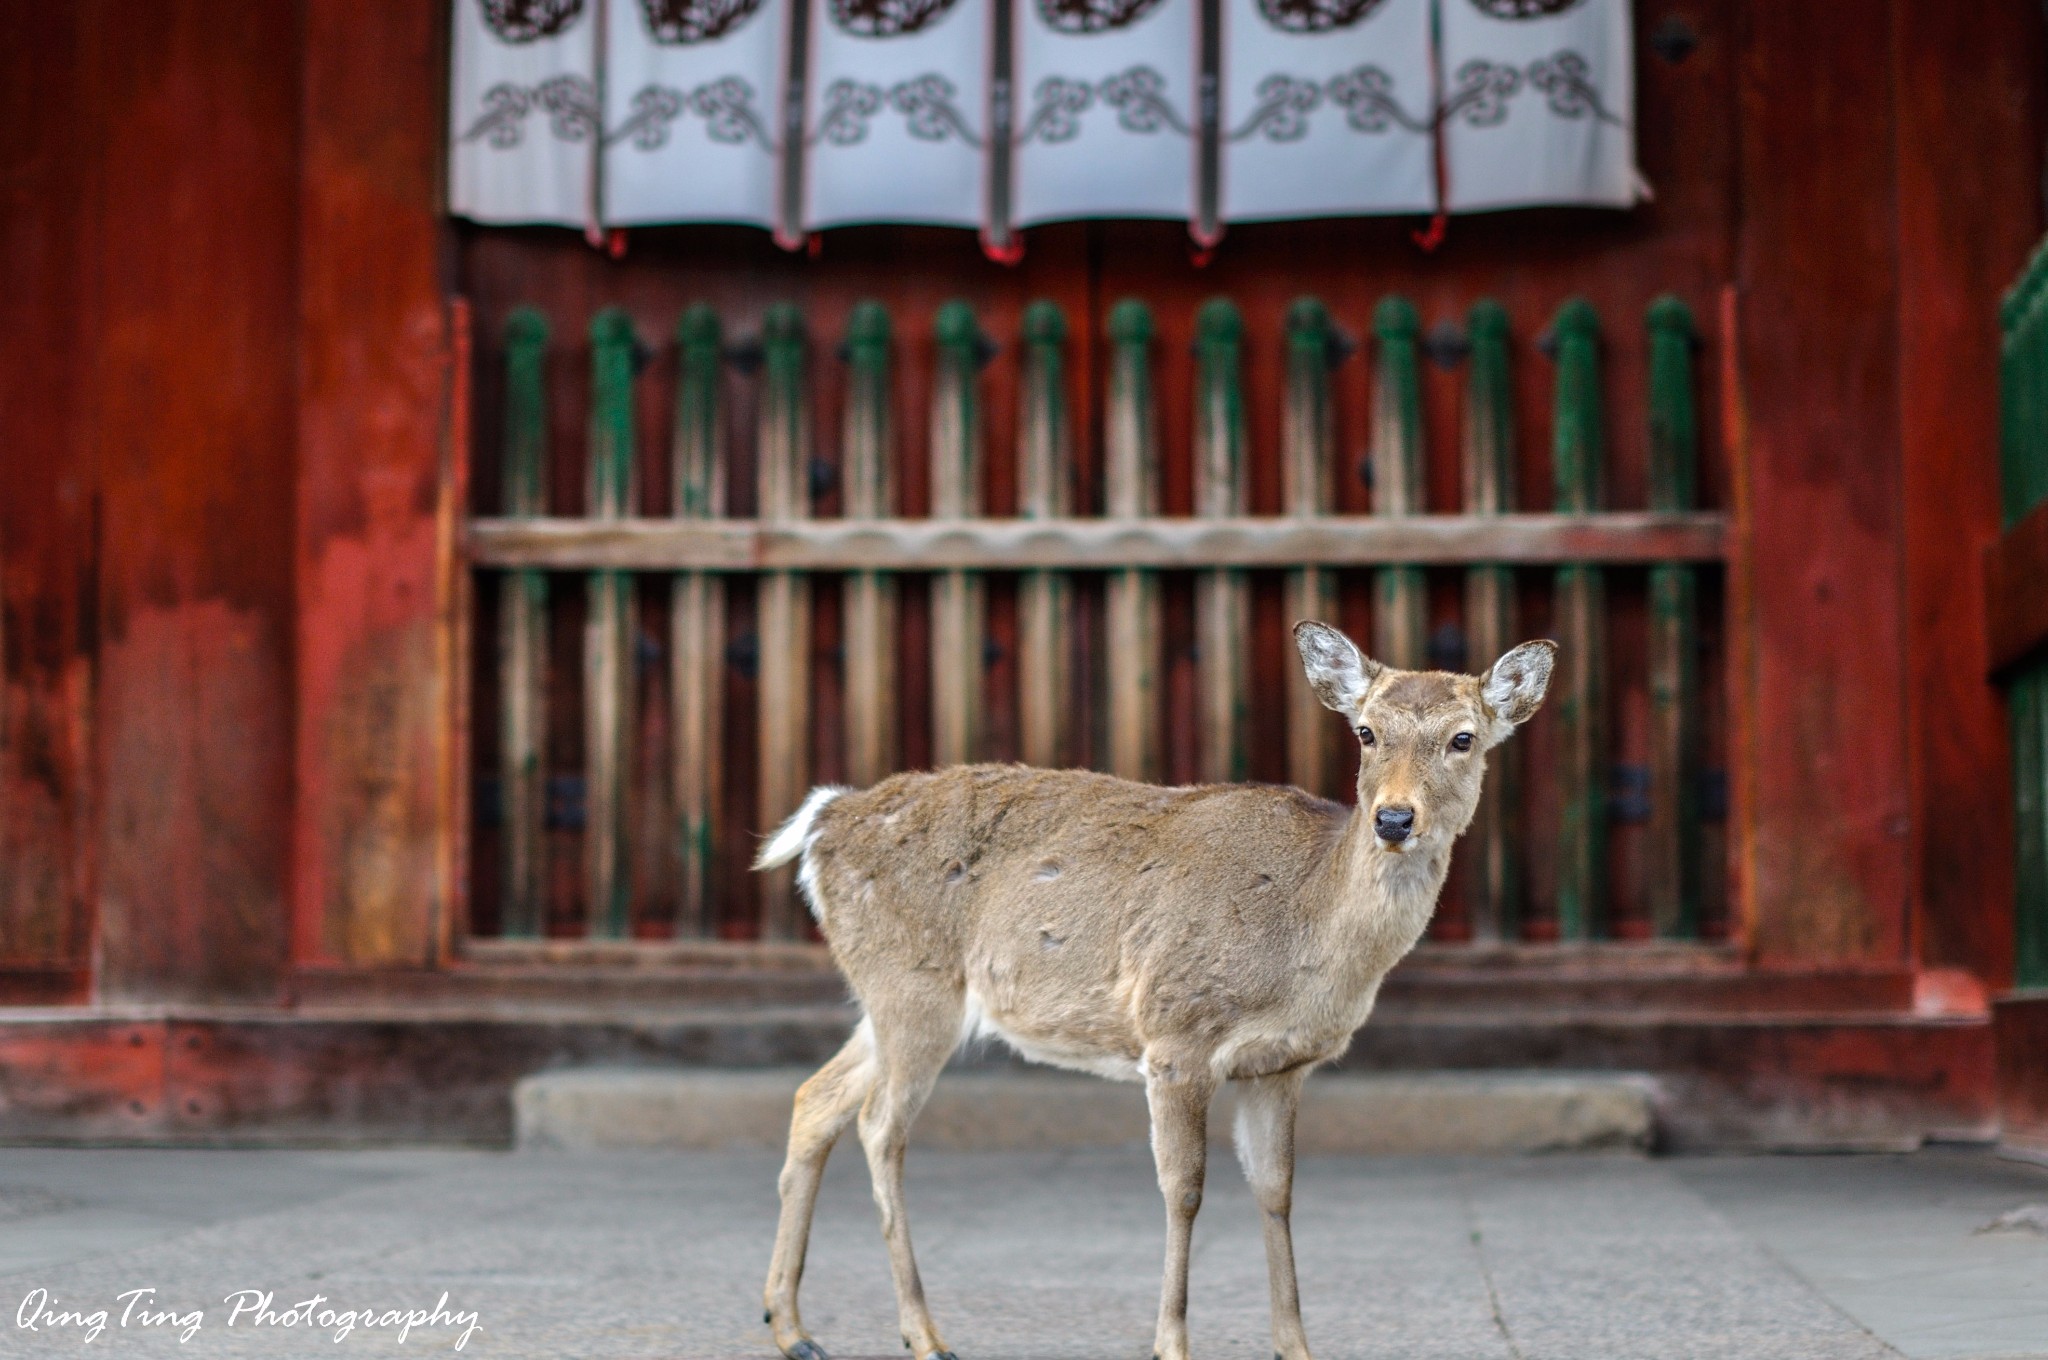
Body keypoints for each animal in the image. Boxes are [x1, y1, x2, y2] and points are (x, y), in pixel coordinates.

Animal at [753, 622, 1548, 1360]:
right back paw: (922, 1333)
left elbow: (1277, 1190)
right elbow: (1184, 1189)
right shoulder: (1175, 1034)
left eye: (1464, 738)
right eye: (1366, 731)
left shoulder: (1281, 1065)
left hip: (888, 996)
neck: (1308, 935)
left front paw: (1295, 1346)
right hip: (913, 986)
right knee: (878, 1126)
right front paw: (1171, 1343)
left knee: (815, 1098)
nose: (1393, 818)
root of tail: (823, 823)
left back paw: (792, 1327)